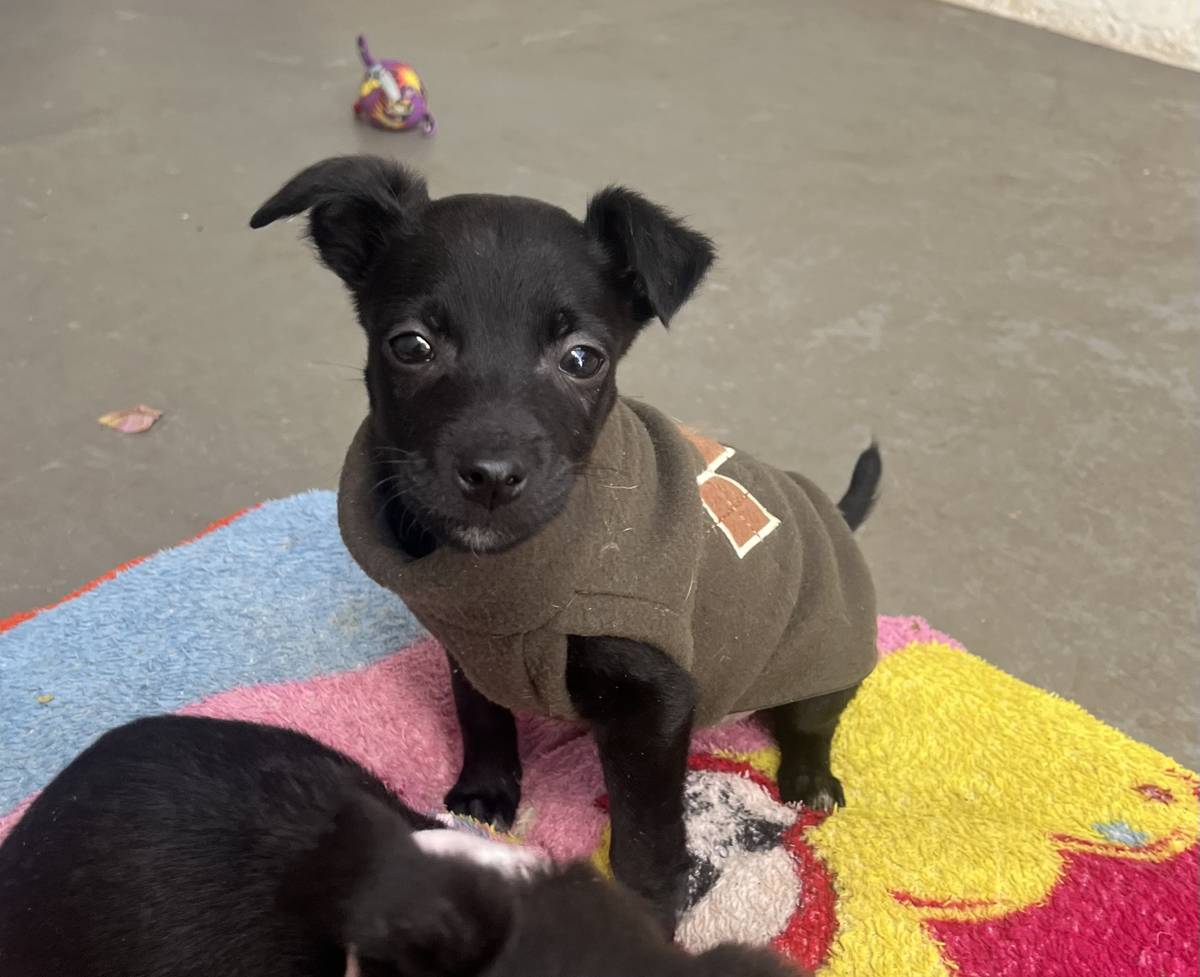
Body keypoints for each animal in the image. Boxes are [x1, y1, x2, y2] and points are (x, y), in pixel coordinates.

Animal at [249, 155, 880, 934]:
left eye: (582, 359)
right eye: (410, 345)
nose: (491, 476)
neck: (513, 572)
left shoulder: (656, 703)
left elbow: (645, 834)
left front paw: (647, 915)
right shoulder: (472, 644)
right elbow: (482, 713)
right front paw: (486, 795)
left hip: (828, 658)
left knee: (815, 719)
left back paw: (809, 777)